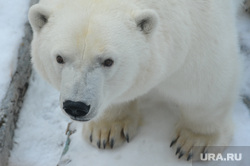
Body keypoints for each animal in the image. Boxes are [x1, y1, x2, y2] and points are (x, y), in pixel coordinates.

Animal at [28, 0, 248, 161]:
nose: (76, 106)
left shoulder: (199, 28)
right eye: (59, 58)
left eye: (108, 61)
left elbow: (205, 85)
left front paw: (193, 142)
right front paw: (107, 131)